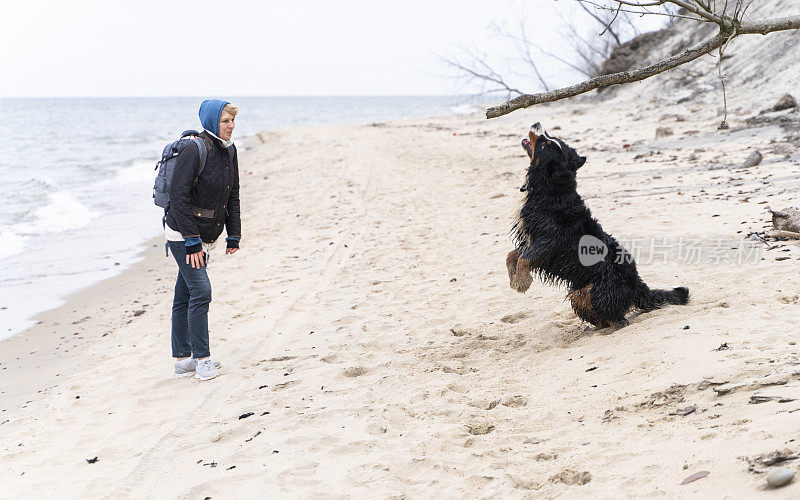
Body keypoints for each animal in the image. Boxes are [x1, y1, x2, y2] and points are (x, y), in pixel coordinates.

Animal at [506, 123, 688, 330]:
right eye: (548, 139)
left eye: (545, 144)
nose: (537, 124)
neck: (551, 189)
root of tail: (637, 284)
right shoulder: (531, 239)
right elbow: (512, 255)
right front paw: (514, 278)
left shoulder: (549, 241)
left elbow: (524, 258)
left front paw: (522, 283)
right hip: (581, 293)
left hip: (600, 292)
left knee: (618, 317)